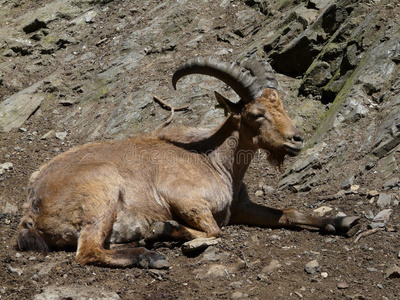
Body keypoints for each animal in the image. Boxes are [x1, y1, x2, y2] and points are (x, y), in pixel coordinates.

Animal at [16, 57, 360, 268]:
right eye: (255, 114)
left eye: (281, 106)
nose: (296, 140)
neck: (214, 161)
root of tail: (32, 208)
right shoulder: (183, 198)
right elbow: (215, 230)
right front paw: (170, 232)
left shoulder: (241, 206)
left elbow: (287, 212)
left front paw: (342, 221)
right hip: (103, 192)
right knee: (87, 251)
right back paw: (148, 254)